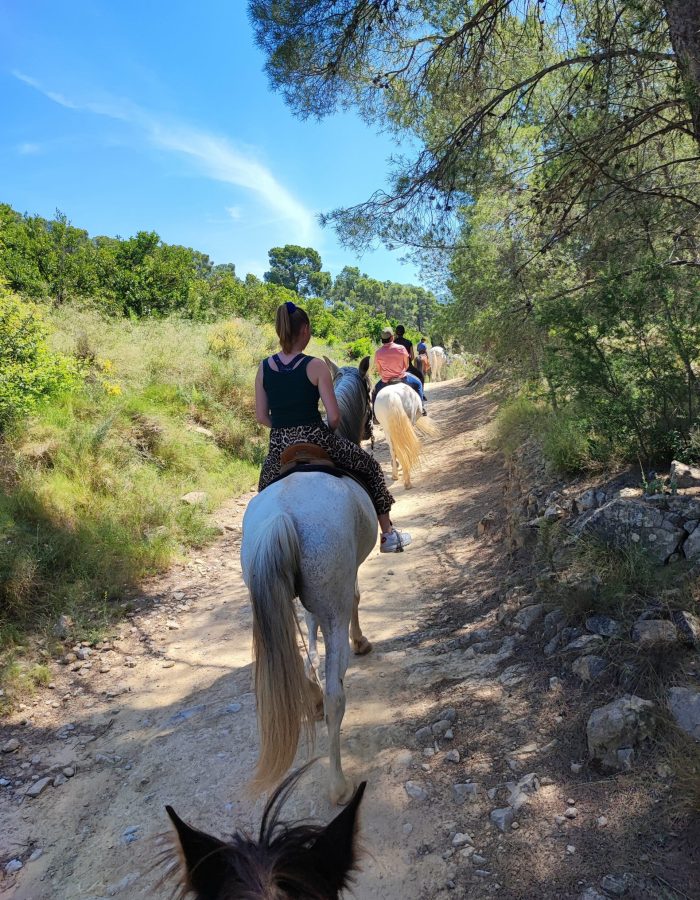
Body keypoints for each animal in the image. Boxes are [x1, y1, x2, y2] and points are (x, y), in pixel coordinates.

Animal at [240, 357, 376, 805]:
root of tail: (284, 513)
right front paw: (361, 640)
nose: (370, 429)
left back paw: (311, 697)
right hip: (331, 603)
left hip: (273, 599)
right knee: (336, 695)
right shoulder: (346, 582)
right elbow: (355, 598)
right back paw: (337, 783)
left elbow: (309, 637)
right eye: (370, 394)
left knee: (303, 659)